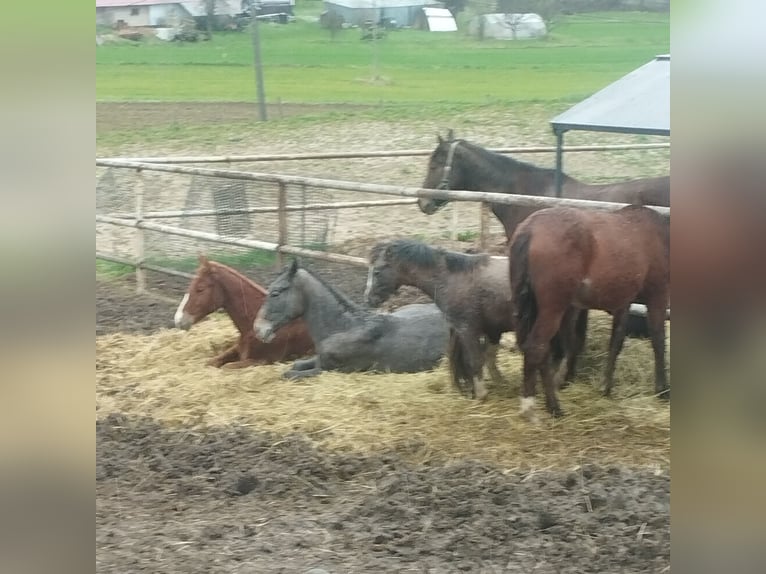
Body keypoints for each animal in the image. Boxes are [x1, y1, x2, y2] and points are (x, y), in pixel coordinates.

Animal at [175, 256, 316, 368]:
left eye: (200, 289)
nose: (178, 320)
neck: (251, 327)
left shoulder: (261, 361)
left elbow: (226, 367)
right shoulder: (237, 349)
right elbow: (211, 362)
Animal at [255, 260, 452, 378]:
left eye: (275, 293)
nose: (258, 329)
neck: (344, 327)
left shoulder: (332, 369)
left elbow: (289, 374)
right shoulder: (320, 360)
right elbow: (296, 364)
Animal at [366, 241, 588, 402]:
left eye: (377, 271)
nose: (368, 299)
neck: (450, 277)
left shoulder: (467, 328)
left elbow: (475, 360)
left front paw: (481, 393)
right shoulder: (491, 329)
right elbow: (489, 357)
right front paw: (498, 383)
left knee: (569, 348)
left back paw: (557, 381)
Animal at [510, 205, 672, 420]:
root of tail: (530, 229)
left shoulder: (624, 302)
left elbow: (616, 341)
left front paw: (606, 387)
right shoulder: (657, 295)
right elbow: (658, 340)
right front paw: (663, 390)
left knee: (541, 351)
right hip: (553, 310)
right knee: (536, 348)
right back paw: (540, 407)